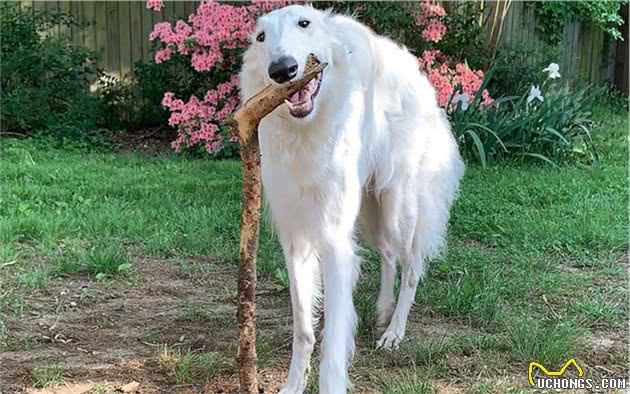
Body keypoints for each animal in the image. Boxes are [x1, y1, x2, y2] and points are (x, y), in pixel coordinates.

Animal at [239, 4, 466, 392]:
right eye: (261, 37)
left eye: (304, 23)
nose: (282, 70)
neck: (306, 134)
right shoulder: (296, 239)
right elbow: (304, 331)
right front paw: (293, 384)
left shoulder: (334, 242)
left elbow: (332, 341)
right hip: (368, 212)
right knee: (389, 254)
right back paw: (383, 310)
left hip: (396, 208)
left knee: (412, 267)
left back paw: (394, 331)